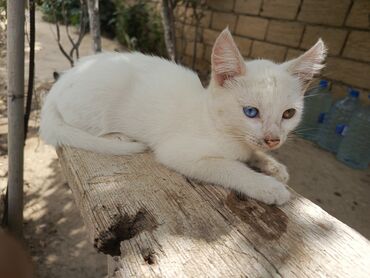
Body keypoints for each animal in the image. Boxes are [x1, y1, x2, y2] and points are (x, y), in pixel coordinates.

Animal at [39, 28, 326, 204]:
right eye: (251, 112)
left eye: (289, 113)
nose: (273, 139)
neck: (216, 123)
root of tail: (62, 80)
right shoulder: (178, 152)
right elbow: (229, 167)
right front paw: (267, 186)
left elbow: (251, 154)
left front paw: (273, 166)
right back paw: (118, 136)